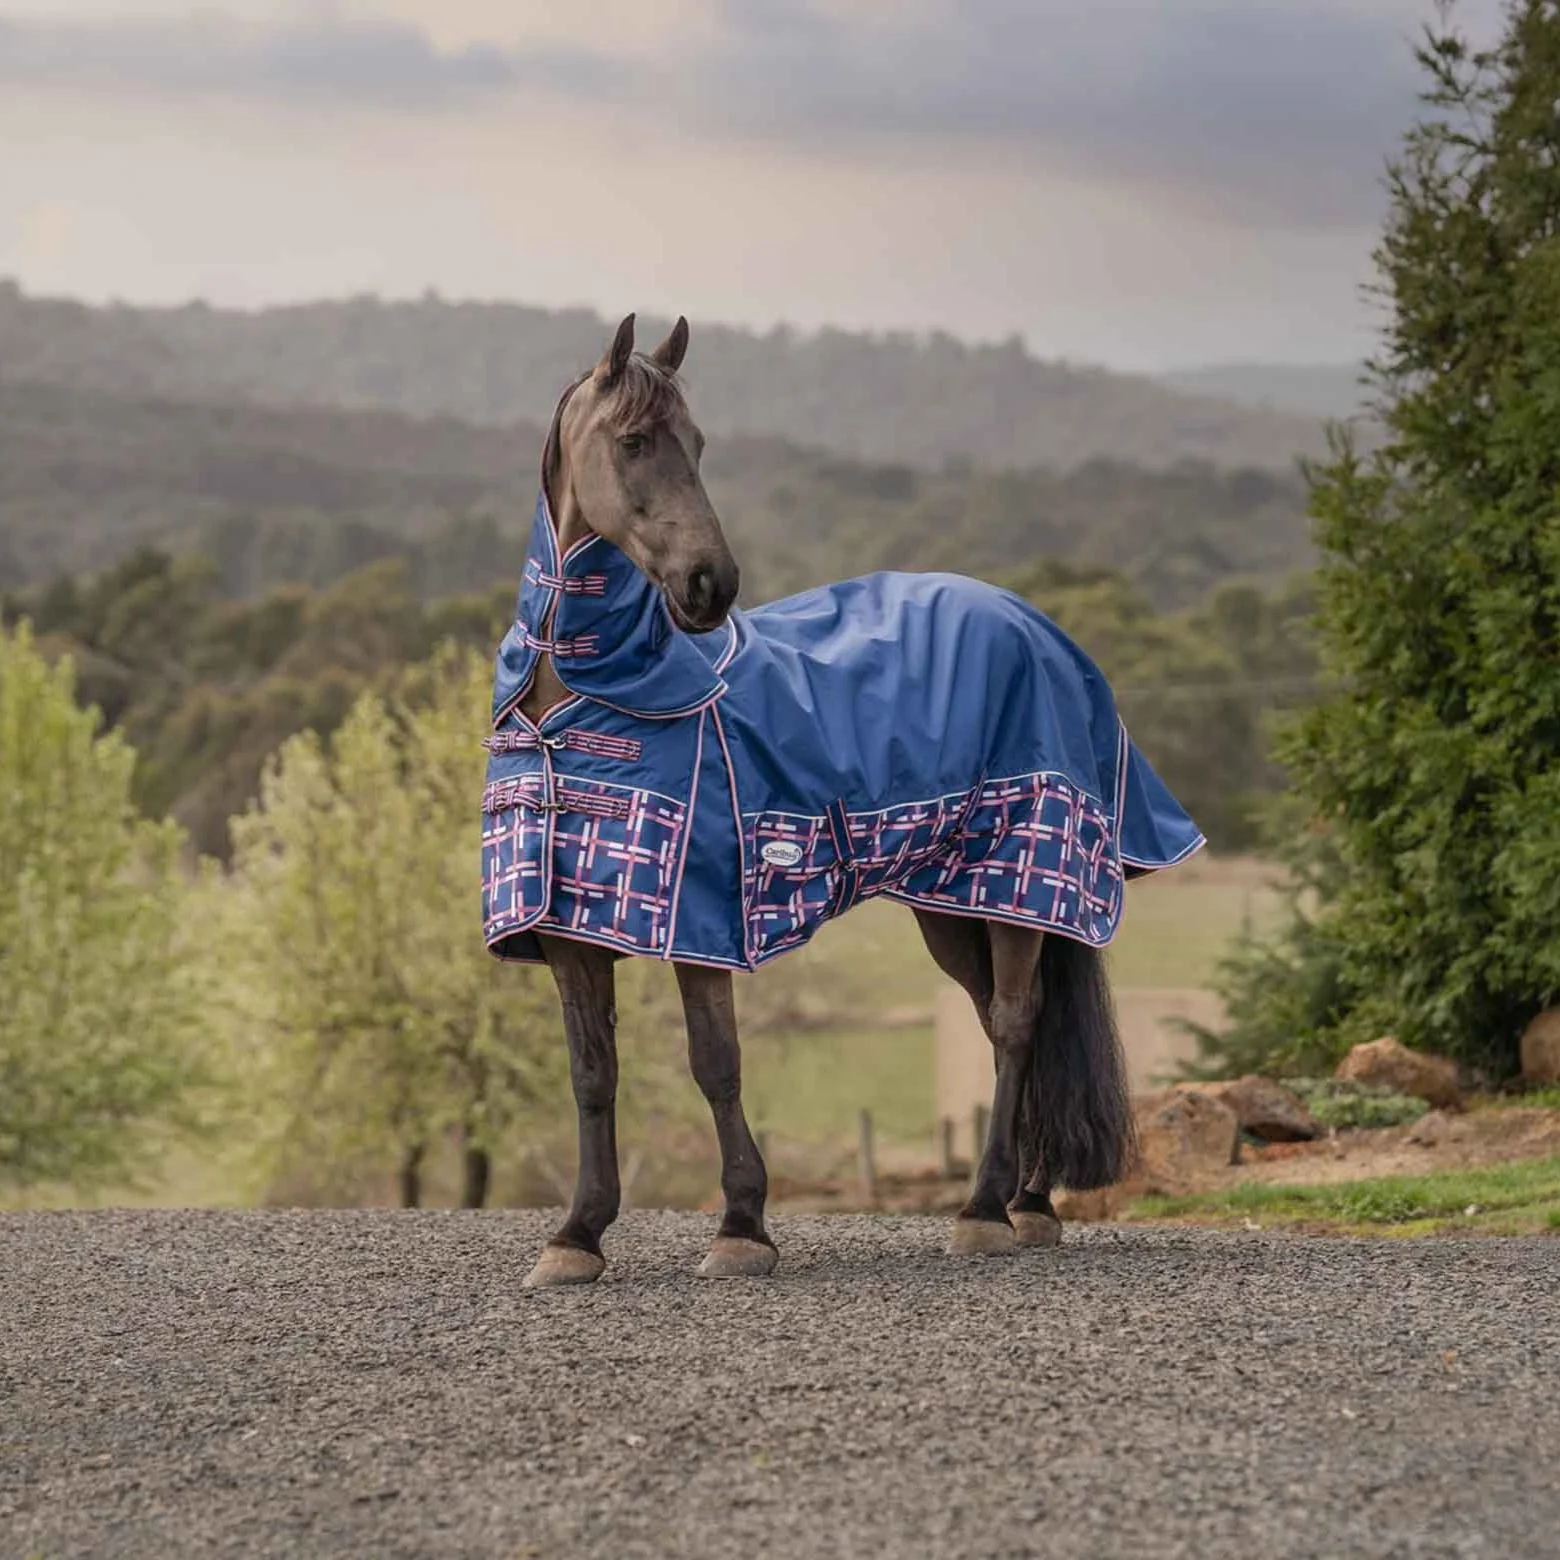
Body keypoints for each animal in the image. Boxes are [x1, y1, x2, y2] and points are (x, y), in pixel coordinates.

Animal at [481, 313, 1204, 1287]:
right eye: (632, 442)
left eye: (697, 444)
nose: (711, 585)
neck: (605, 693)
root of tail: (1038, 627)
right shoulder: (570, 930)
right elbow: (592, 1073)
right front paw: (576, 1234)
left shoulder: (701, 922)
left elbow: (716, 1062)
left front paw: (742, 1225)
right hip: (953, 902)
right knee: (1000, 1024)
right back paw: (1029, 1201)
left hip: (1022, 877)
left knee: (1016, 1023)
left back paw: (984, 1209)